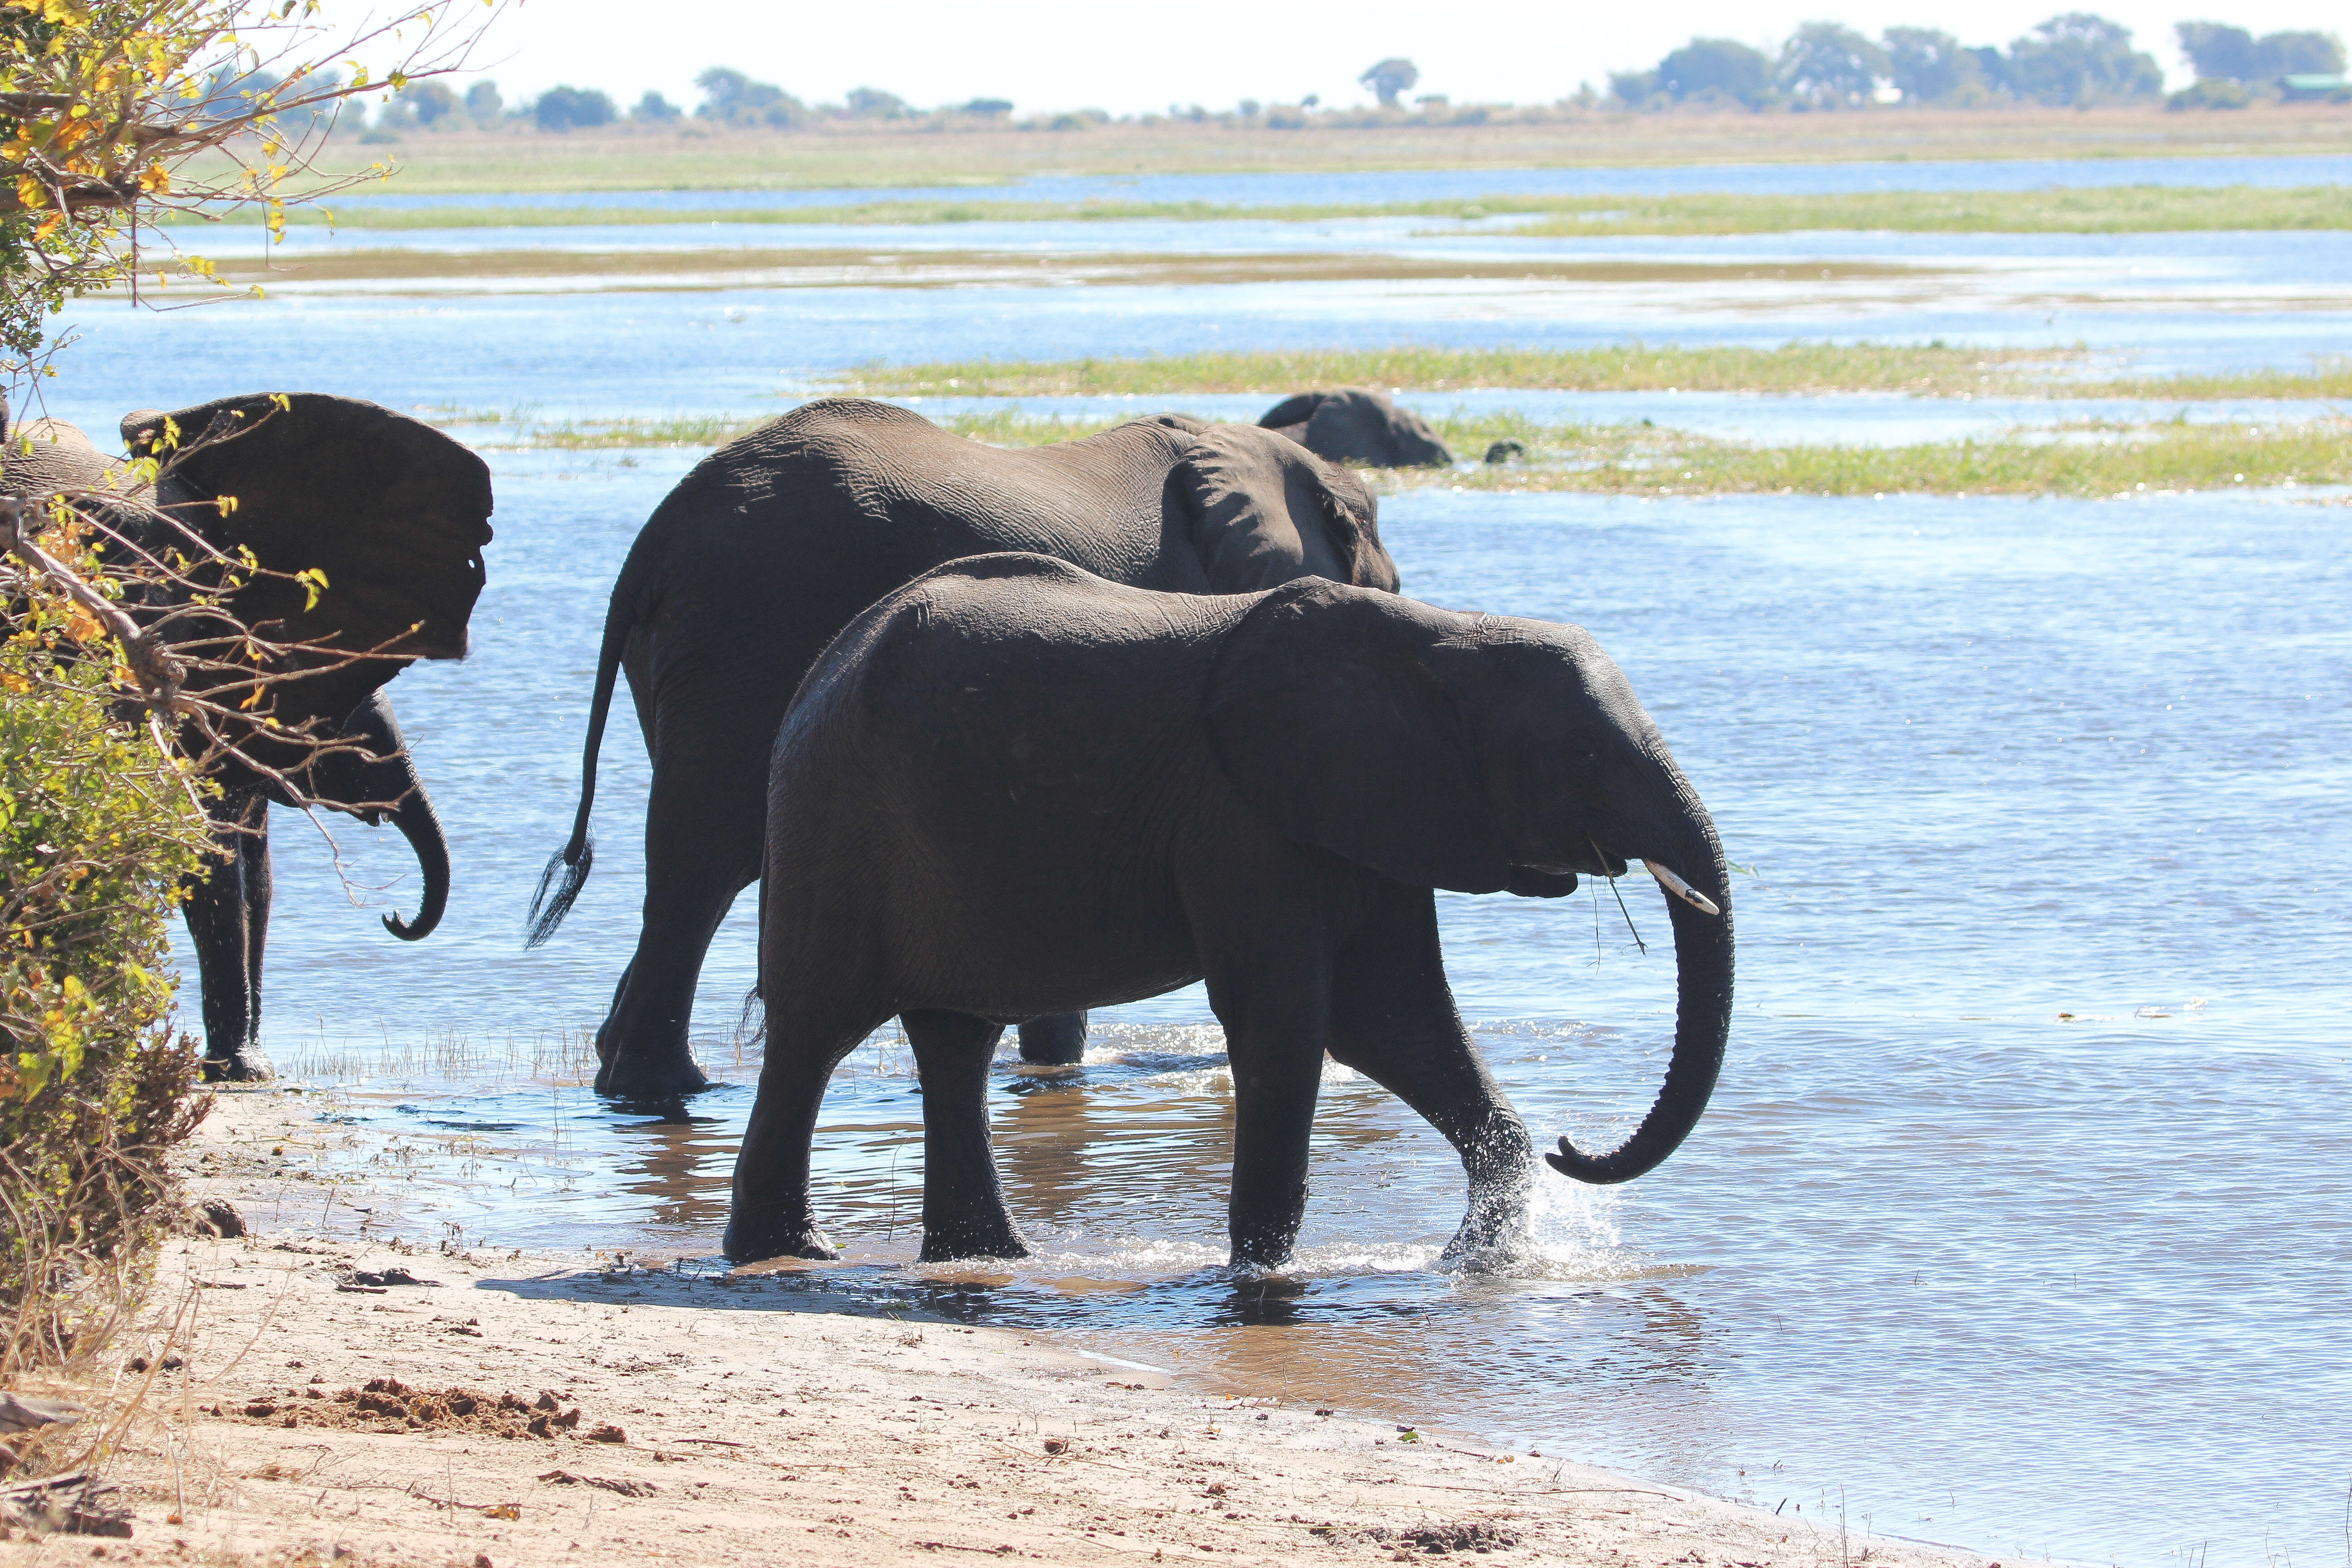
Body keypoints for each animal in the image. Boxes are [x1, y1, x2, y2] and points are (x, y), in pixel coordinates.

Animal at [3, 395, 491, 1081]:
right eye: (348, 741)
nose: (394, 916)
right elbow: (209, 855)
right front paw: (239, 1070)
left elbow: (253, 867)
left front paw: (250, 1064)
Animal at [724, 557, 1740, 1269]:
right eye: (1583, 754)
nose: (1578, 1146)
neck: (1442, 638)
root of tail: (822, 667)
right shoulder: (1240, 817)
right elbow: (1290, 1018)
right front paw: (1260, 1278)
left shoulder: (1366, 816)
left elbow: (1395, 1019)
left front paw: (1479, 1263)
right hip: (833, 817)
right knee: (814, 1033)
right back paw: (791, 1254)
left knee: (954, 1043)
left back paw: (990, 1258)